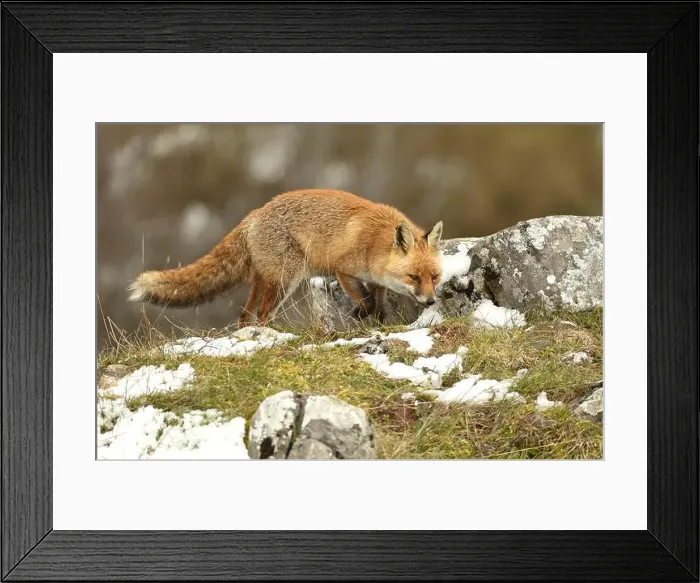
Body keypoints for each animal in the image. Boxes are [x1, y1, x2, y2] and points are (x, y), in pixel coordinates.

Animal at [128, 189, 444, 328]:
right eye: (414, 277)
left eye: (435, 277)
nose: (430, 301)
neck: (374, 243)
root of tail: (253, 215)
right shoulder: (342, 270)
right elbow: (365, 300)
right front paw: (360, 314)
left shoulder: (376, 280)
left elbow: (376, 302)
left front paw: (375, 320)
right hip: (285, 279)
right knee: (262, 314)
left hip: (263, 280)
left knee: (245, 316)